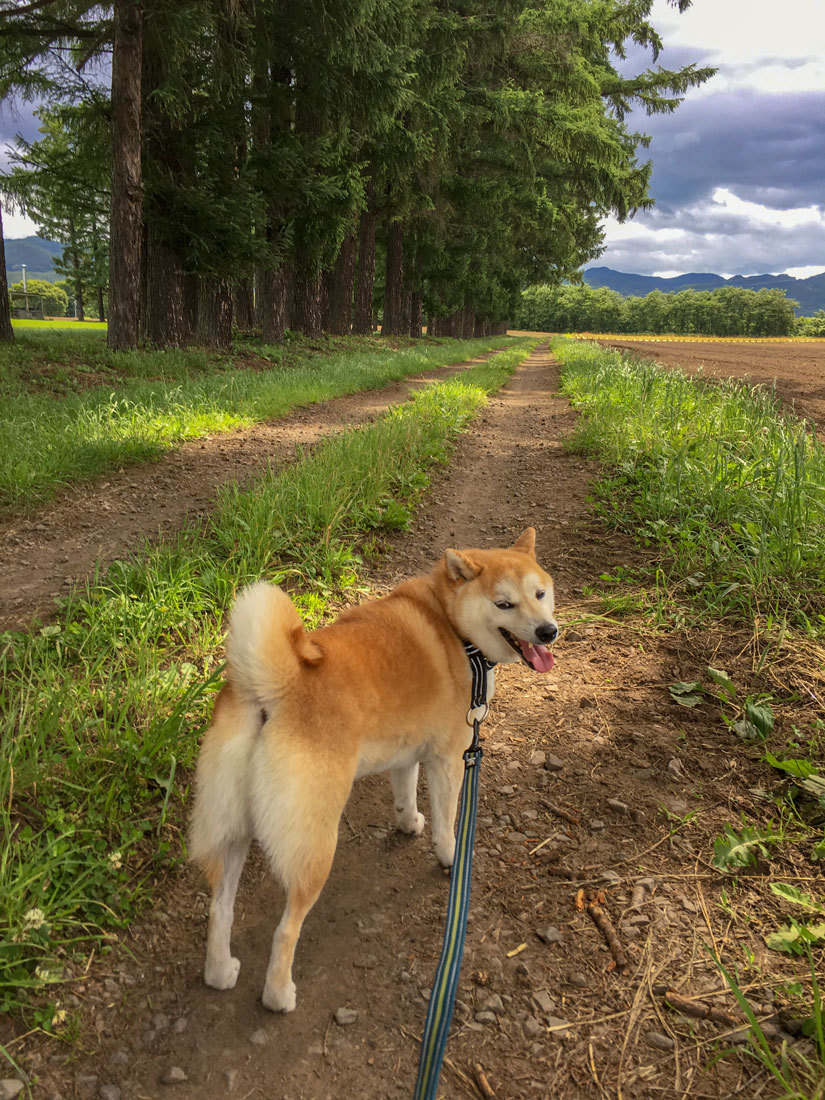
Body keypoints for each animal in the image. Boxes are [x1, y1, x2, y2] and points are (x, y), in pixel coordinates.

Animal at [190, 528, 558, 1007]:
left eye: (540, 594)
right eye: (504, 604)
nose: (548, 631)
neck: (451, 626)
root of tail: (273, 688)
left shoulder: (407, 753)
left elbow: (404, 796)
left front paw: (408, 823)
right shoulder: (449, 759)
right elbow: (447, 823)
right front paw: (451, 858)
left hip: (234, 831)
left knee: (220, 909)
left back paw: (220, 971)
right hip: (315, 847)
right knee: (285, 930)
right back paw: (279, 995)